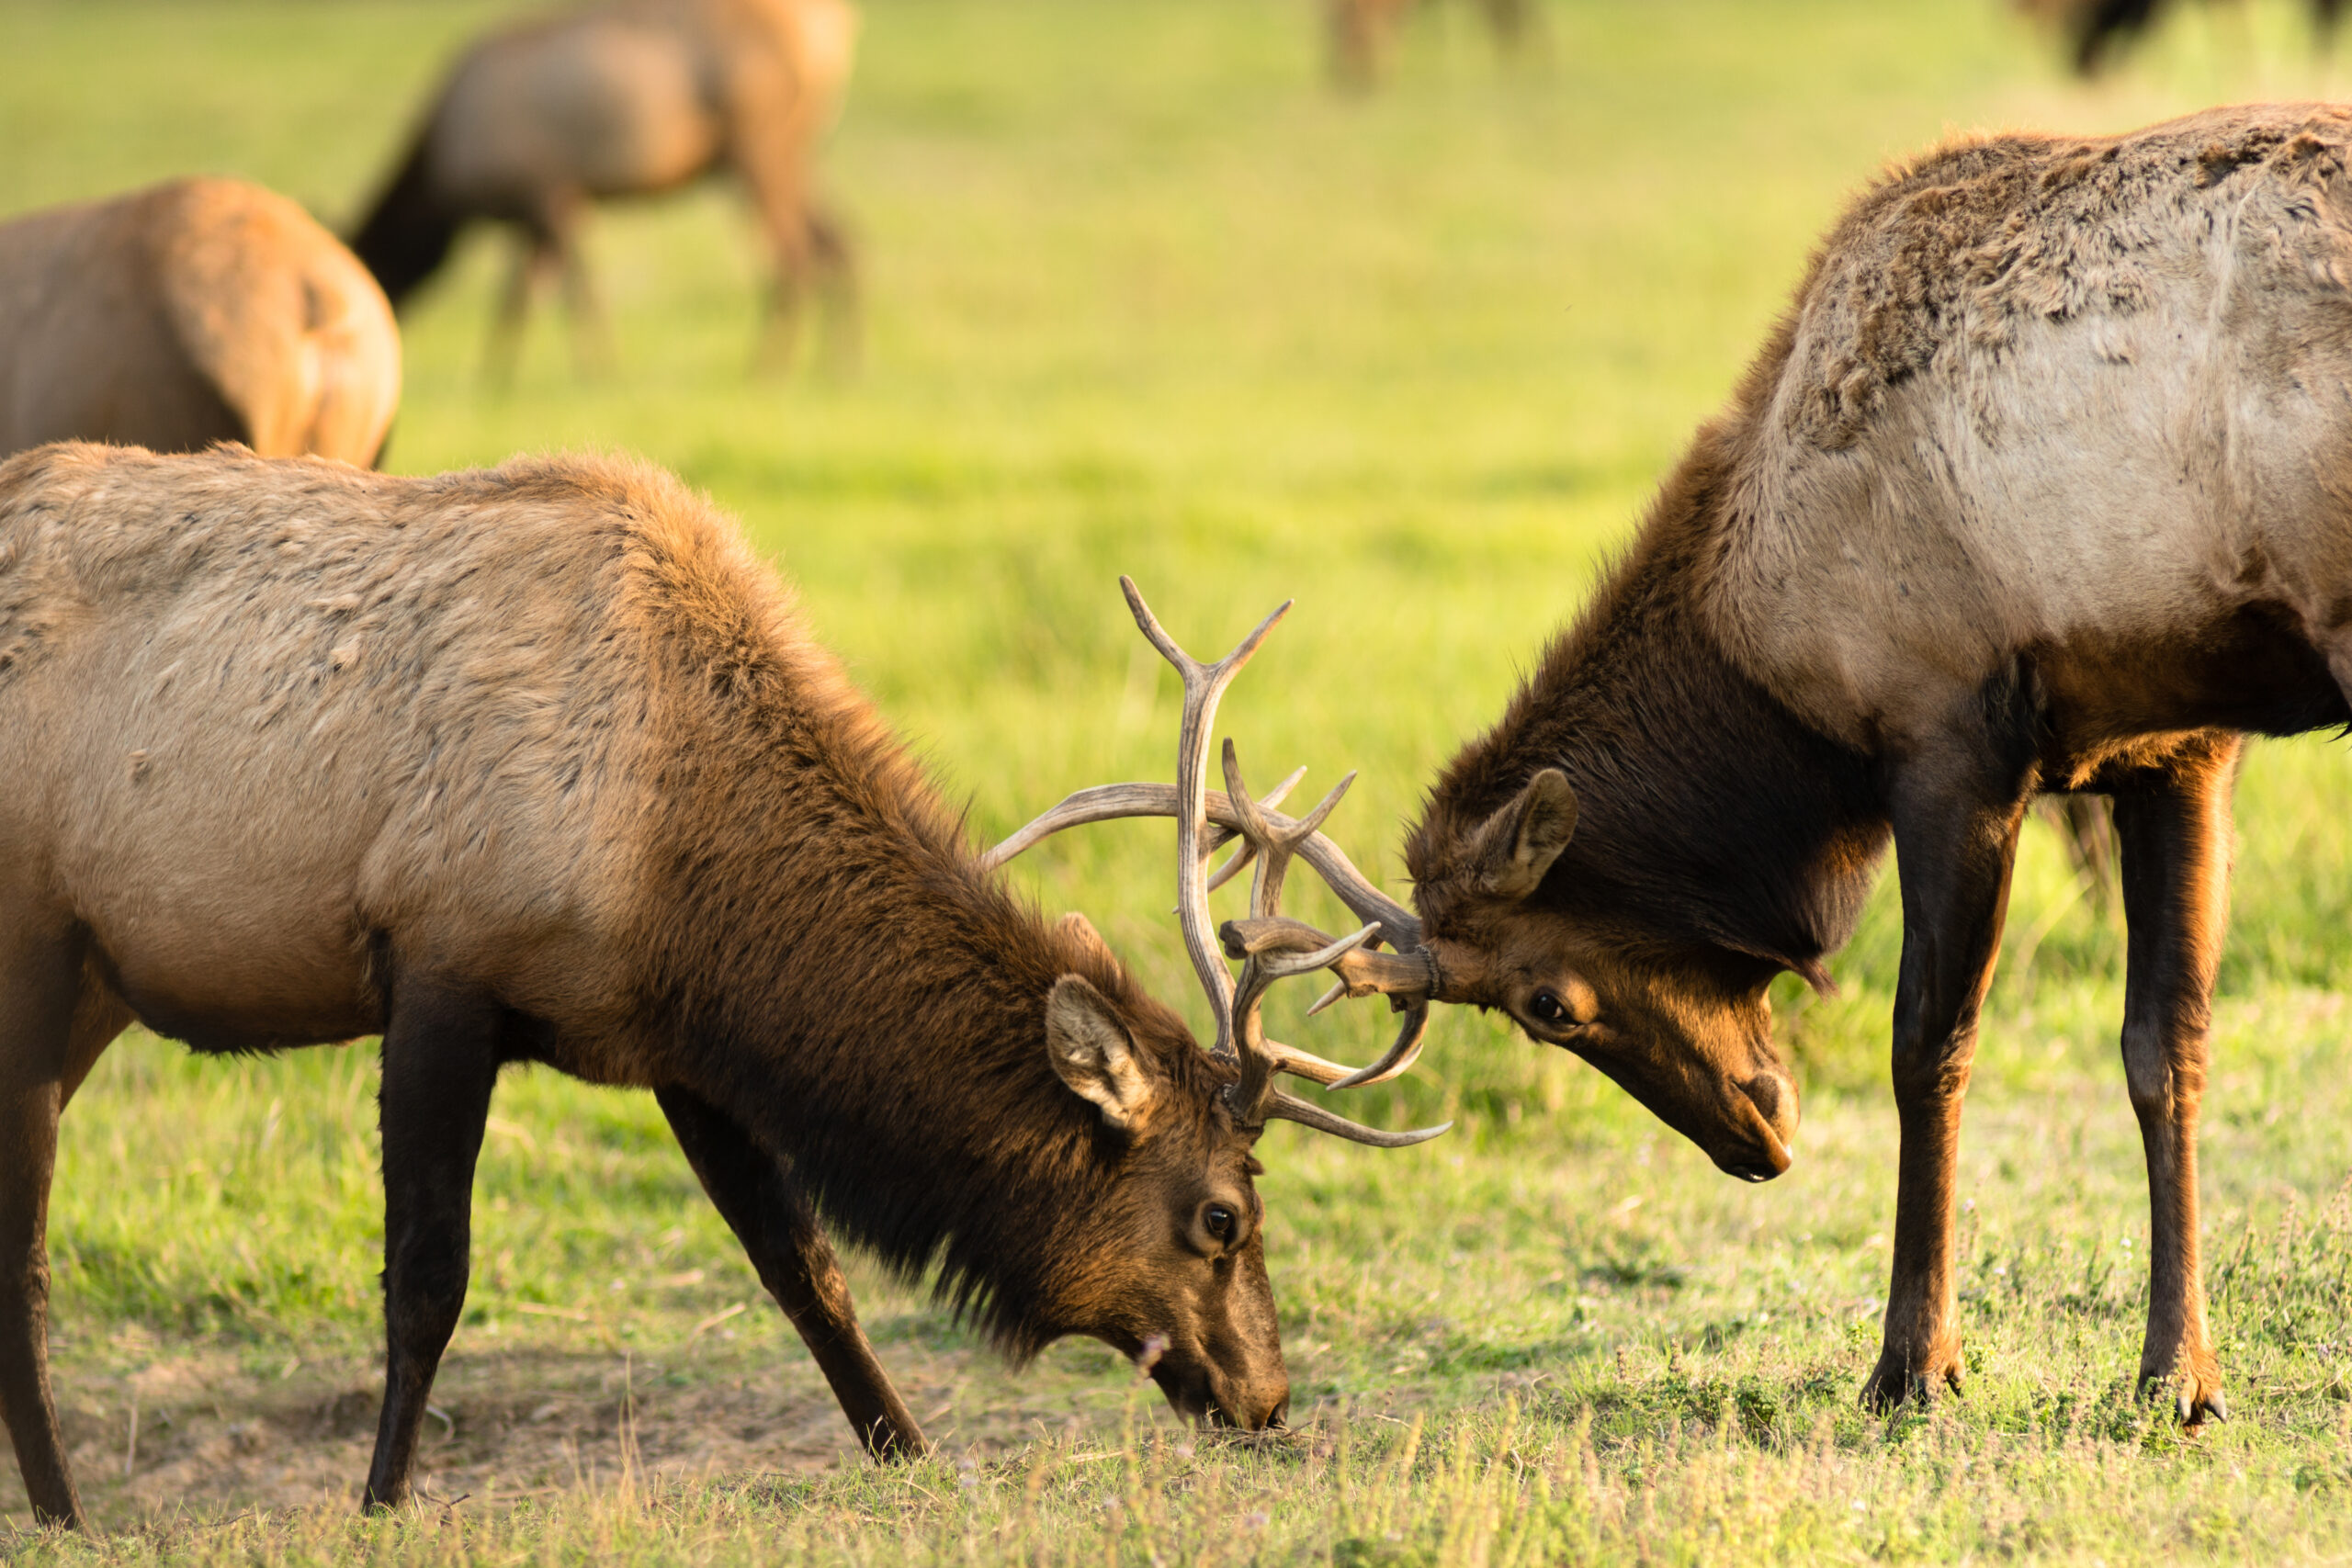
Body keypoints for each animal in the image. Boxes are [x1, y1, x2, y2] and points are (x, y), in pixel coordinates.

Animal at [0, 439, 1430, 1523]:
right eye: (1223, 1216)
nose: (1268, 1397)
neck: (678, 865)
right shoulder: (441, 963)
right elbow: (426, 1281)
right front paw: (380, 1502)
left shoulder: (677, 1044)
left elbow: (809, 1270)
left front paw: (912, 1455)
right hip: (31, 956)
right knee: (26, 1257)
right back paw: (69, 1516)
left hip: (89, 994)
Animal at [347, 0, 865, 376]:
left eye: (374, 268)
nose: (380, 336)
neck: (440, 180)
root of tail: (836, 24)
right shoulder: (539, 211)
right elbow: (524, 295)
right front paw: (497, 376)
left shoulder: (548, 196)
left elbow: (572, 294)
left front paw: (596, 369)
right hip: (795, 152)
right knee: (840, 245)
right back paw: (839, 366)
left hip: (757, 146)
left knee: (796, 256)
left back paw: (766, 369)